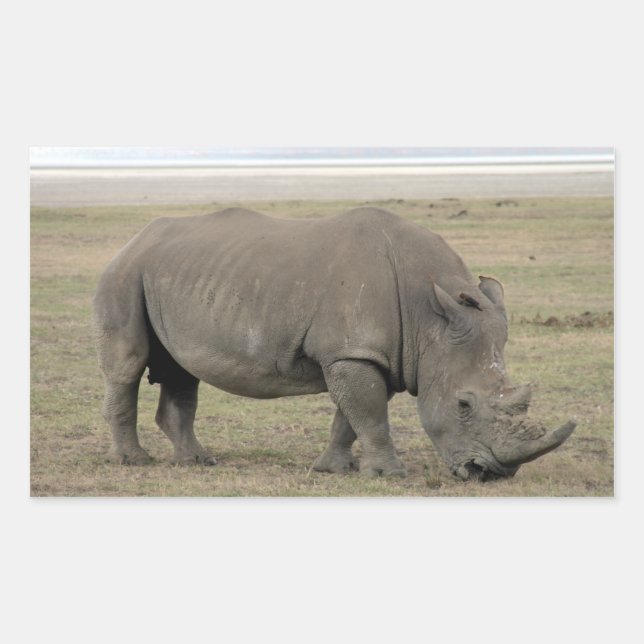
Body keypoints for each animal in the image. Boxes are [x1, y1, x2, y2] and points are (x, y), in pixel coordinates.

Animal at [93, 207, 576, 481]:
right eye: (463, 405)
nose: (491, 474)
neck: (429, 317)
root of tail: (132, 240)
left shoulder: (368, 353)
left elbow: (351, 415)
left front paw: (334, 470)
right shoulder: (354, 351)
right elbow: (369, 412)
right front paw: (388, 475)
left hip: (172, 274)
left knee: (181, 370)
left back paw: (196, 463)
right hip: (124, 273)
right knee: (127, 367)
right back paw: (134, 463)